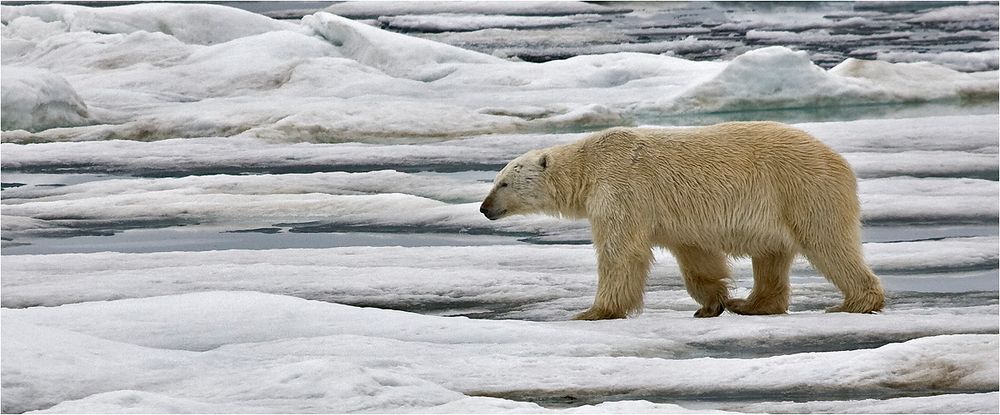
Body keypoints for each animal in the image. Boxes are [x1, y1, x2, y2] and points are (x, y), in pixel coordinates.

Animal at [482, 122, 884, 320]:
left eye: (503, 182)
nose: (485, 208)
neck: (590, 163)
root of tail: (839, 160)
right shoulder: (676, 219)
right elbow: (696, 257)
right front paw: (712, 304)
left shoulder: (621, 189)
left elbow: (621, 253)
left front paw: (593, 312)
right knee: (771, 253)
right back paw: (752, 304)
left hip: (802, 188)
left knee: (828, 242)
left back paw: (854, 302)